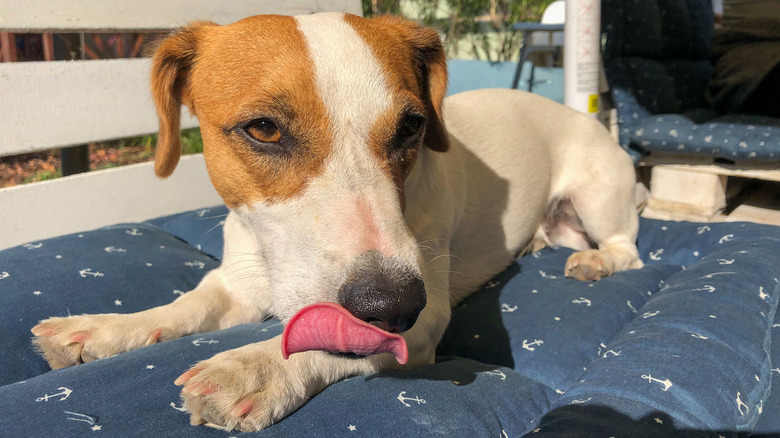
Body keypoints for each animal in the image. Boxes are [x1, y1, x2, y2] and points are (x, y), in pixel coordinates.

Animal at [29, 12, 640, 432]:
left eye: (412, 126)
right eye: (264, 128)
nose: (391, 303)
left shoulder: (426, 319)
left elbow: (331, 338)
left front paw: (254, 368)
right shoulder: (237, 280)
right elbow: (185, 306)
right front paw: (103, 328)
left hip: (597, 192)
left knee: (628, 248)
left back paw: (596, 260)